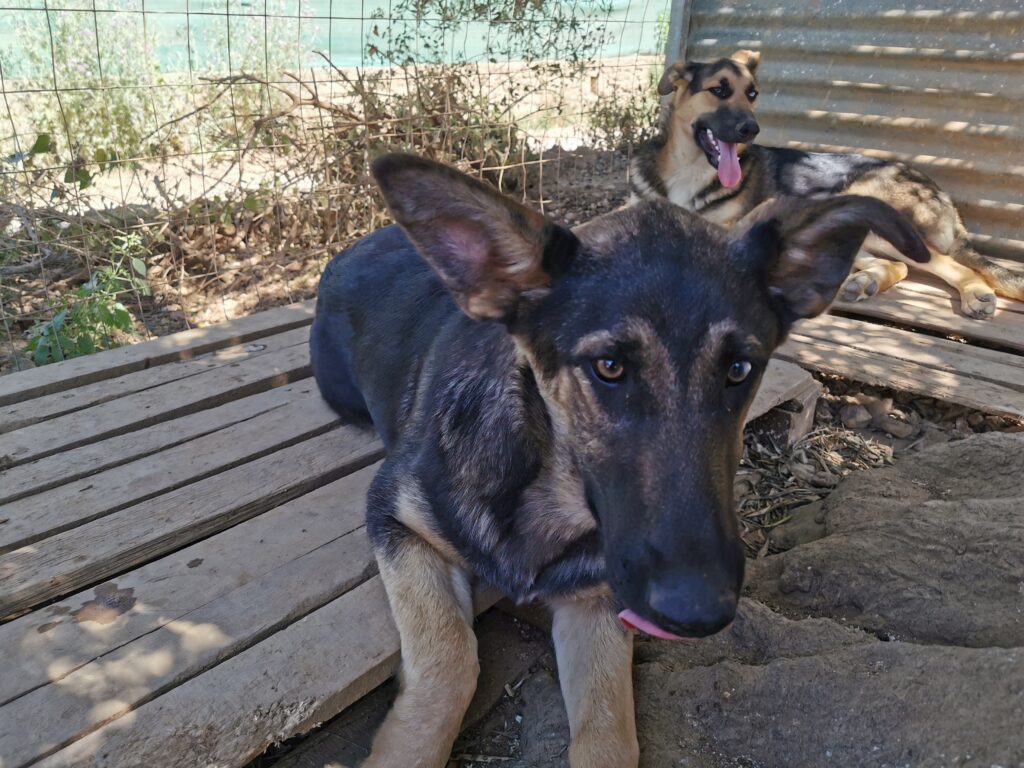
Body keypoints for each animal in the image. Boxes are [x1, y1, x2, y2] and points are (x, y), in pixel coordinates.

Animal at [310, 153, 928, 767]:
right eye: (609, 367)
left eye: (739, 370)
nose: (697, 613)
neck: (543, 489)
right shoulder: (398, 519)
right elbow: (450, 660)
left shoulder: (595, 605)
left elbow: (609, 735)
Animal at [629, 49, 1024, 319]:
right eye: (719, 90)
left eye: (752, 94)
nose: (751, 129)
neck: (688, 170)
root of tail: (940, 191)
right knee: (898, 266)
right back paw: (866, 282)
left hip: (872, 206)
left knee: (947, 263)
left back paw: (976, 294)